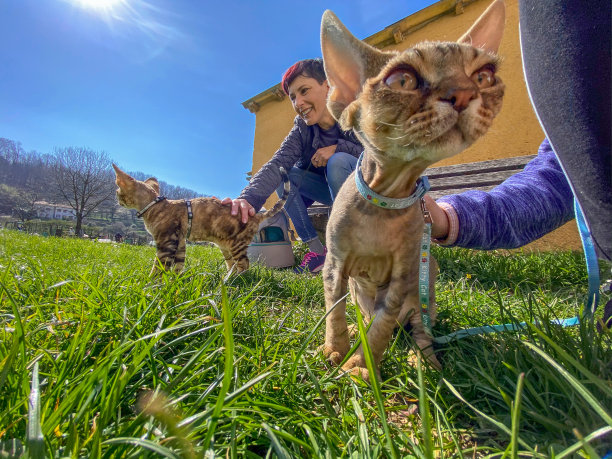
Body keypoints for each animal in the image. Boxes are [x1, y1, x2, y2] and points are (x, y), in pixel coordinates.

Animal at [112, 165, 290, 276]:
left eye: (117, 191)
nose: (117, 200)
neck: (155, 205)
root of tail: (255, 215)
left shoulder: (166, 242)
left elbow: (159, 266)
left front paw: (151, 284)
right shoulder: (180, 242)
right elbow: (178, 264)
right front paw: (175, 281)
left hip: (237, 244)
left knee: (244, 264)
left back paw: (237, 281)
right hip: (225, 245)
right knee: (232, 263)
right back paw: (227, 278)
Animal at [318, 0, 504, 380]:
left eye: (484, 76)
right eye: (402, 80)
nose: (465, 92)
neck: (384, 202)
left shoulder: (403, 275)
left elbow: (381, 328)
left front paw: (362, 364)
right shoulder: (335, 265)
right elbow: (334, 312)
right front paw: (335, 348)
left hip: (424, 288)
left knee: (419, 331)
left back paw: (424, 361)